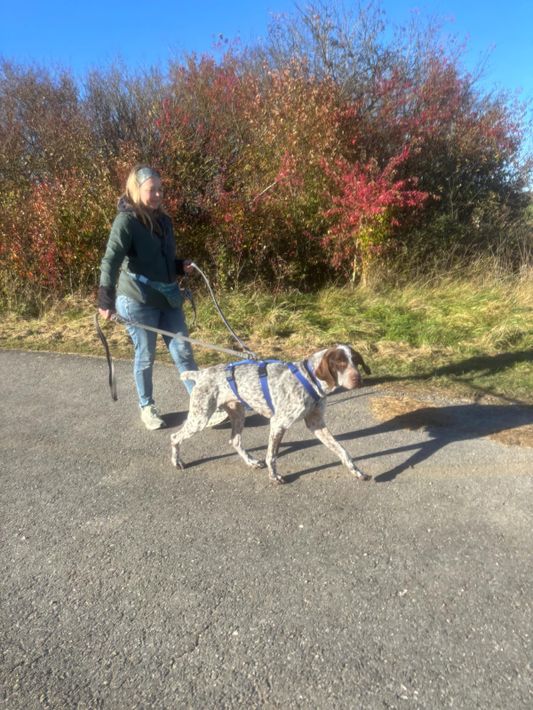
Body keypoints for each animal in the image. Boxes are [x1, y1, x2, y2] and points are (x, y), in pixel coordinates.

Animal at [170, 344, 372, 484]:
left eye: (356, 361)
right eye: (340, 363)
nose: (358, 379)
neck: (310, 379)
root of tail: (202, 373)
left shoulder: (316, 424)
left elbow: (342, 450)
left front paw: (356, 471)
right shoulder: (278, 423)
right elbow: (272, 456)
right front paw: (274, 476)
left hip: (238, 414)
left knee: (235, 441)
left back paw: (251, 462)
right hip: (200, 417)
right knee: (175, 437)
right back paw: (176, 461)